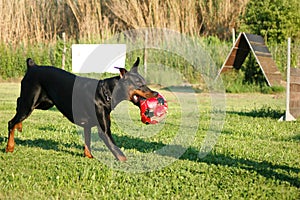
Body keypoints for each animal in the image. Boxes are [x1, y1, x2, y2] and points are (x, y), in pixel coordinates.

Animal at [5, 56, 158, 161]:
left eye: (145, 82)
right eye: (139, 84)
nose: (156, 93)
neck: (106, 93)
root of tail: (32, 66)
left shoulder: (88, 126)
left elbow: (88, 143)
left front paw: (89, 156)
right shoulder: (104, 131)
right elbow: (118, 152)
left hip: (43, 103)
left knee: (18, 103)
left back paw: (19, 126)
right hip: (30, 103)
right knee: (11, 121)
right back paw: (9, 147)